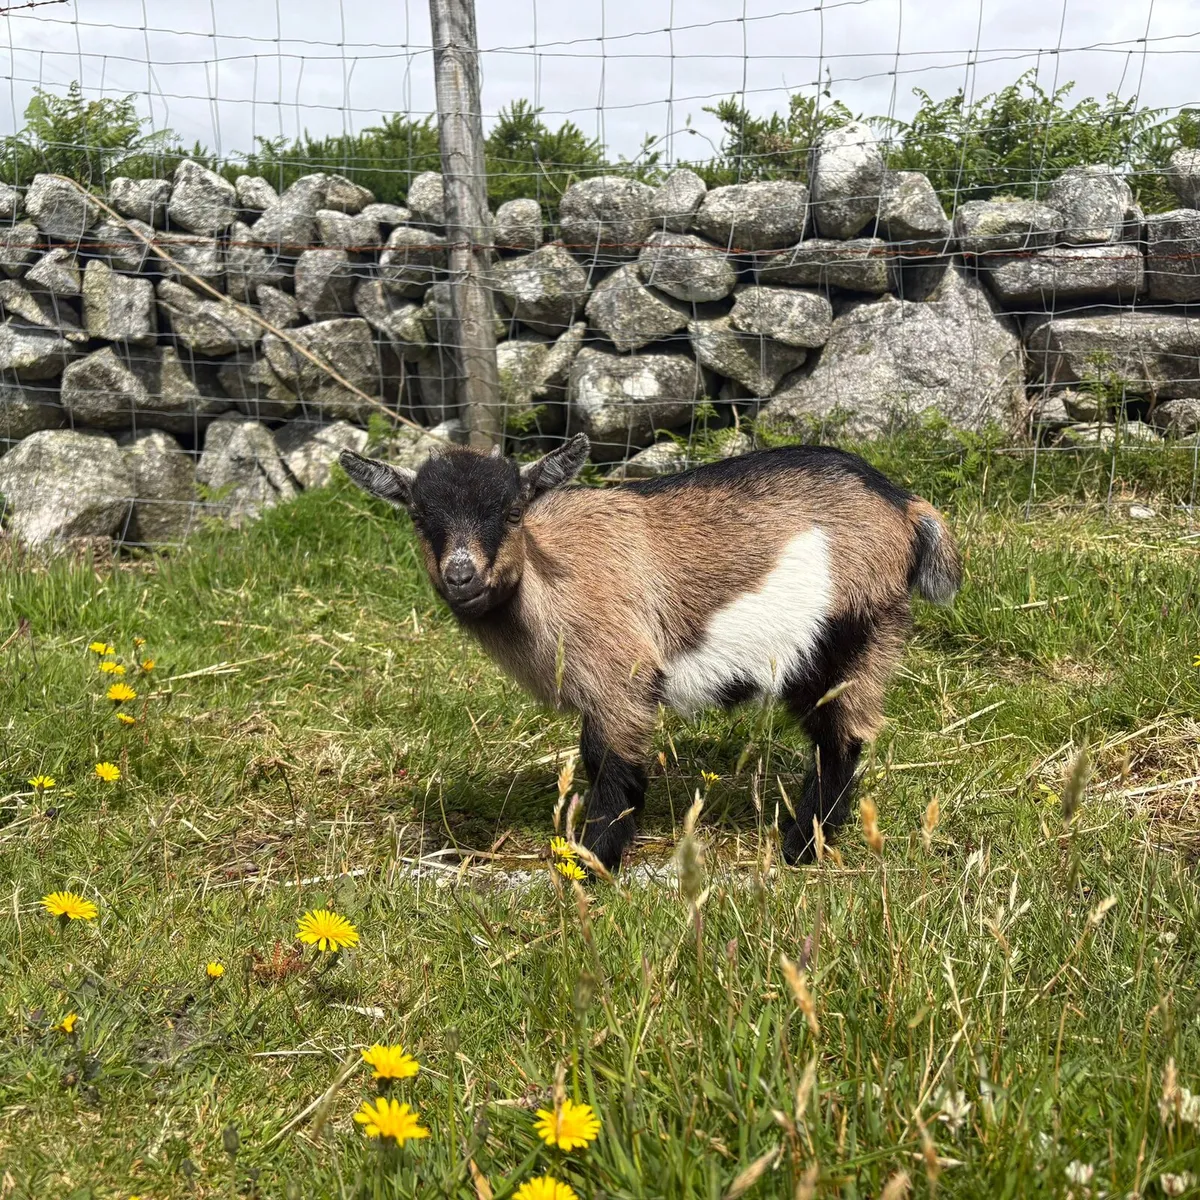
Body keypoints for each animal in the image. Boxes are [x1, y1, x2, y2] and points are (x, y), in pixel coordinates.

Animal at [339, 434, 961, 871]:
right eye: (418, 517)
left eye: (514, 512)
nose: (461, 575)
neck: (549, 574)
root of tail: (904, 504)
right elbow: (596, 758)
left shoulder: (622, 675)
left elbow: (613, 768)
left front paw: (593, 863)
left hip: (850, 635)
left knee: (840, 741)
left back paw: (799, 849)